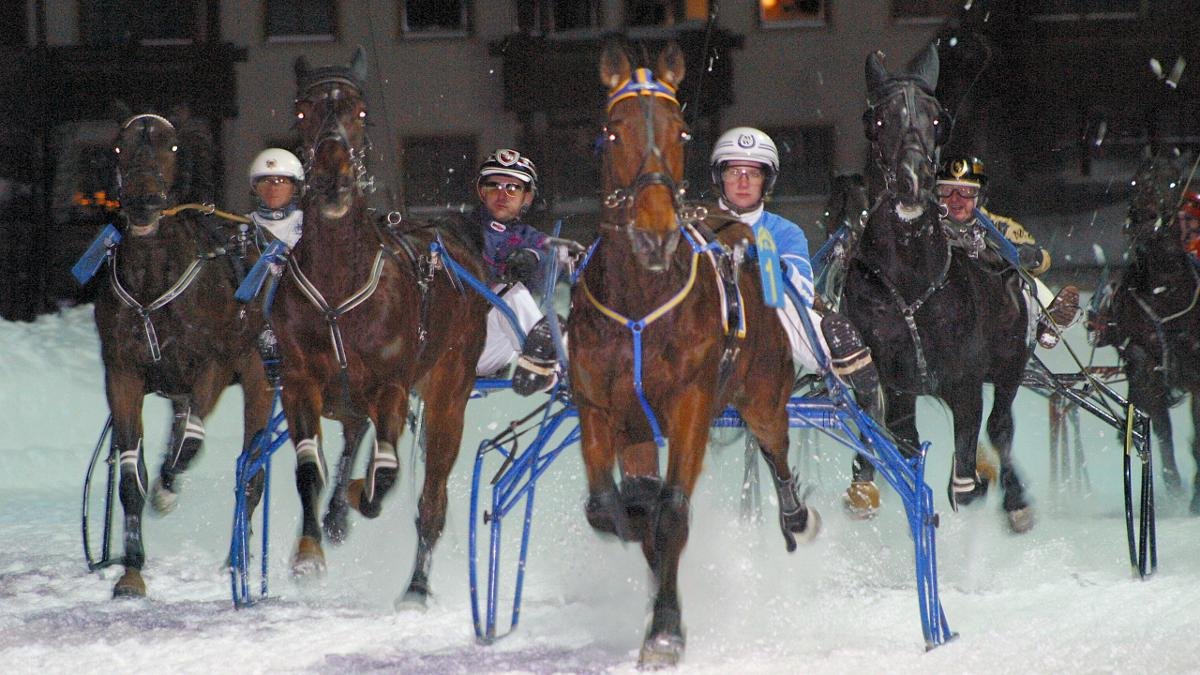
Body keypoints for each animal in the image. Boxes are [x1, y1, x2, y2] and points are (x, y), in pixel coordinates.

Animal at [94, 112, 272, 595]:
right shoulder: (123, 373)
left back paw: (236, 560)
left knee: (251, 473)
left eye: (172, 147)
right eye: (118, 146)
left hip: (262, 378)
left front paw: (167, 489)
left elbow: (190, 442)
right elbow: (131, 475)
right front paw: (131, 571)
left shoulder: (213, 365)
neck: (153, 280)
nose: (143, 202)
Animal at [274, 48, 489, 605]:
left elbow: (385, 480)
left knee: (430, 495)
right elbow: (309, 468)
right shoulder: (300, 380)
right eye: (302, 111)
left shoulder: (392, 384)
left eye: (361, 112)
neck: (337, 289)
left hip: (449, 392)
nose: (333, 176)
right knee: (353, 436)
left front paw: (357, 494)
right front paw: (309, 553)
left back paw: (415, 586)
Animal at [573, 43, 825, 667]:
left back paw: (796, 516)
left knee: (776, 450)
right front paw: (632, 518)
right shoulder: (599, 405)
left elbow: (672, 512)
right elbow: (611, 507)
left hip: (764, 394)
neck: (642, 300)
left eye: (682, 131)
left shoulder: (691, 402)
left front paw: (664, 630)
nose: (655, 232)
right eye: (611, 132)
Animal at [840, 47, 1036, 530]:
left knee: (1001, 425)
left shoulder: (965, 382)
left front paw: (974, 485)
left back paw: (1013, 498)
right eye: (876, 119)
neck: (912, 287)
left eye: (936, 119)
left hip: (1011, 361)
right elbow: (896, 440)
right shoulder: (891, 380)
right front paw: (867, 483)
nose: (913, 180)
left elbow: (965, 473)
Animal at [1099, 151, 1200, 509]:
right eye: (1135, 180)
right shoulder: (1143, 358)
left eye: (1172, 181)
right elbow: (1159, 425)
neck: (1165, 293)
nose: (1143, 219)